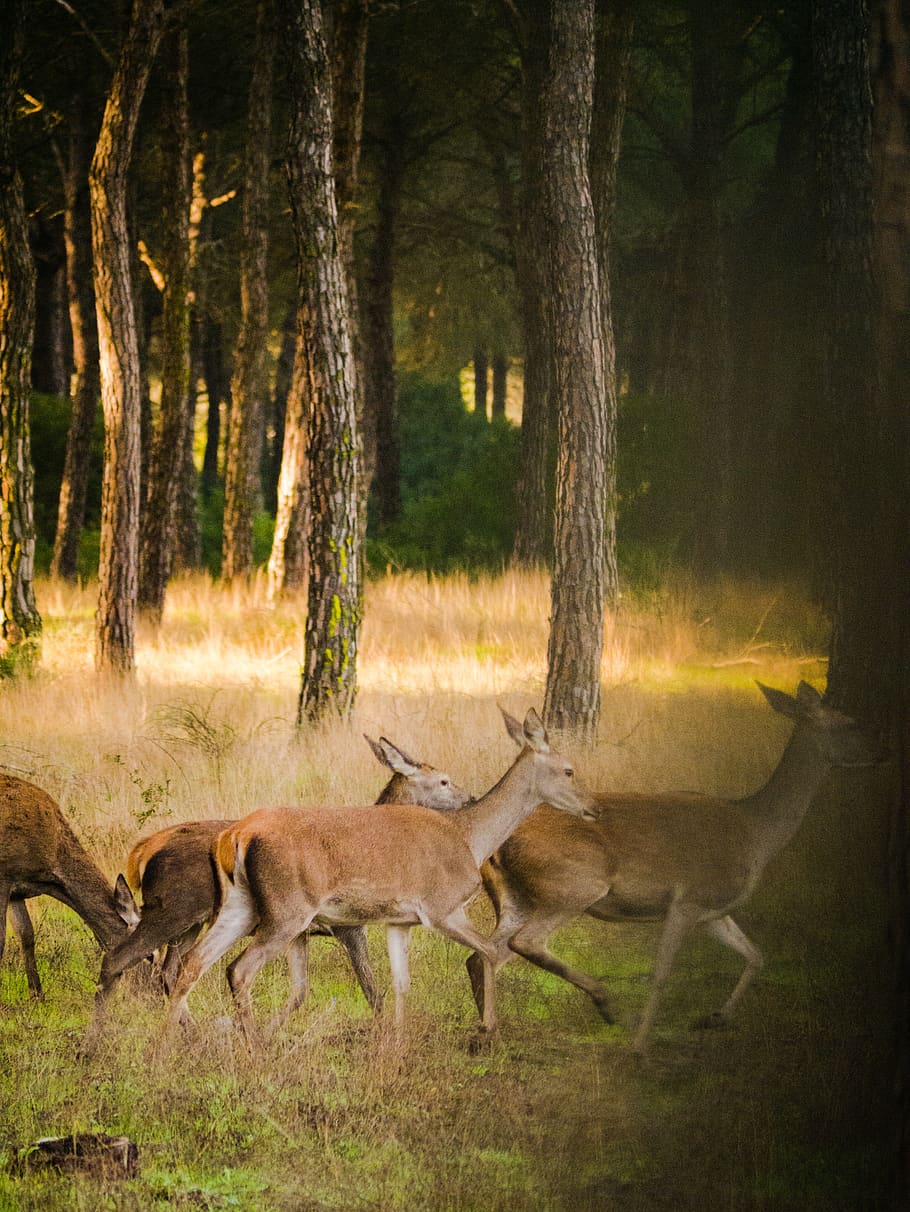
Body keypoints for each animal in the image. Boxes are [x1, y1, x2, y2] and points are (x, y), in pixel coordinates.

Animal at [1, 773, 138, 1000]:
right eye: (151, 956)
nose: (158, 994)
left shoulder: (17, 889)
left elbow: (26, 934)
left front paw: (37, 996)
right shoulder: (4, 875)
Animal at [82, 736, 471, 1051]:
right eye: (443, 780)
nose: (470, 797)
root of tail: (143, 850)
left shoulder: (303, 933)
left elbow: (302, 991)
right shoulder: (348, 926)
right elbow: (372, 990)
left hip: (191, 923)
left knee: (172, 969)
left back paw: (187, 1033)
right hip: (173, 909)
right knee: (121, 957)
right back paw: (95, 1042)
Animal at [165, 708, 594, 1046]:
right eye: (569, 770)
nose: (592, 808)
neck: (469, 839)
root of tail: (235, 835)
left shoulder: (399, 921)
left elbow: (400, 981)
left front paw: (397, 1043)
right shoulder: (442, 908)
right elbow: (486, 951)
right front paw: (488, 1030)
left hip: (241, 906)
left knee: (191, 963)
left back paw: (172, 1043)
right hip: (288, 909)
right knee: (238, 969)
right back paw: (251, 1046)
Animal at [466, 683, 883, 1054]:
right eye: (847, 723)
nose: (882, 753)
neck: (757, 833)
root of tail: (495, 848)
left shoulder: (714, 910)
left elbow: (756, 955)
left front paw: (714, 1018)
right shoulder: (689, 898)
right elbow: (663, 972)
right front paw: (639, 1047)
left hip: (516, 897)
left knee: (485, 954)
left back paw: (488, 1034)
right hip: (575, 886)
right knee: (524, 943)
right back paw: (604, 1004)